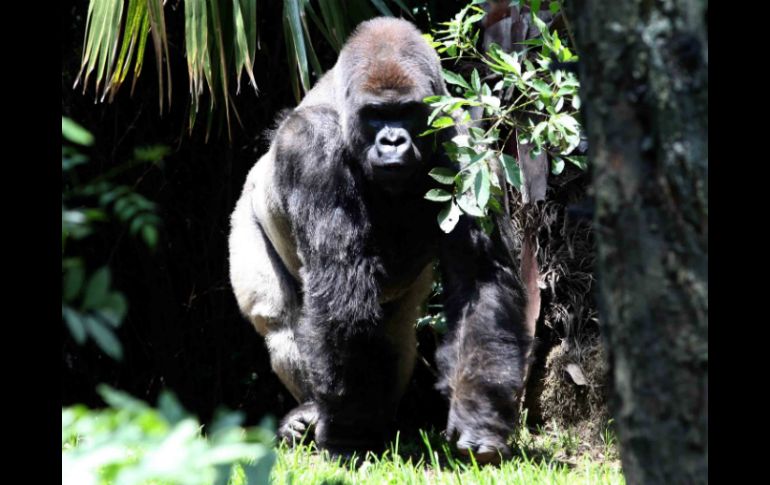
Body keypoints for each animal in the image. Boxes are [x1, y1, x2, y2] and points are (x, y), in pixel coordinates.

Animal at [228, 16, 528, 462]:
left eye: (405, 113)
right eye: (375, 115)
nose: (392, 141)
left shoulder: (468, 146)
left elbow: (481, 281)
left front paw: (479, 419)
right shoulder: (313, 147)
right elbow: (339, 291)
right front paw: (349, 435)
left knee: (396, 335)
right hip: (245, 216)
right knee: (277, 317)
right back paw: (309, 413)